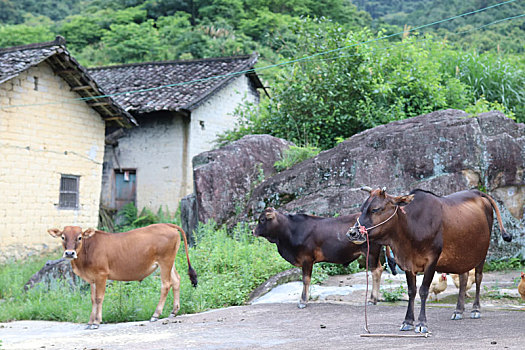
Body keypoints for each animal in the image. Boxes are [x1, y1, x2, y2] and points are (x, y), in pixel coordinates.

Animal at [48, 224, 196, 328]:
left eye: (79, 237)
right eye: (63, 237)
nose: (69, 253)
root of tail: (168, 225)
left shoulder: (102, 275)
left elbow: (99, 298)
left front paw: (96, 322)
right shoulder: (92, 279)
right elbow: (92, 299)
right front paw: (90, 322)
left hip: (165, 261)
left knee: (166, 284)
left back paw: (156, 314)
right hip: (170, 262)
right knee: (176, 280)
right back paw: (174, 311)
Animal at [252, 208, 390, 308]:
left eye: (262, 219)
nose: (253, 231)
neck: (290, 231)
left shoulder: (307, 259)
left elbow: (306, 280)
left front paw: (303, 301)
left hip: (371, 252)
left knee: (376, 271)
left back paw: (372, 299)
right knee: (378, 269)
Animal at [346, 189, 510, 334]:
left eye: (375, 209)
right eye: (362, 209)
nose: (352, 233)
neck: (411, 227)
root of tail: (477, 192)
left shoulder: (432, 261)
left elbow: (423, 291)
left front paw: (421, 323)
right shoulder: (408, 264)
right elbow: (411, 291)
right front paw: (407, 321)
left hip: (482, 253)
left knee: (478, 277)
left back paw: (476, 309)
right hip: (462, 256)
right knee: (463, 278)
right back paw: (458, 310)